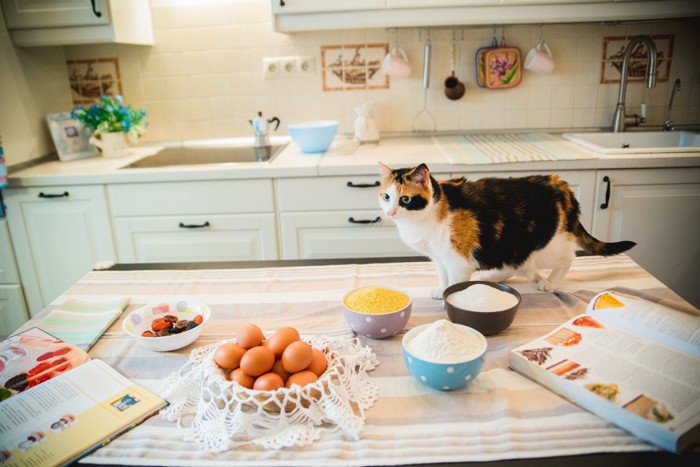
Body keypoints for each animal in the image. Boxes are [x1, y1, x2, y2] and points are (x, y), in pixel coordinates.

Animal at [380, 162, 636, 300]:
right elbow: (443, 276)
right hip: (510, 248)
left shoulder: (457, 260)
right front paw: (441, 289)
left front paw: (449, 296)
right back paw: (488, 277)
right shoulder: (439, 258)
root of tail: (558, 183)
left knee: (568, 257)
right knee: (513, 266)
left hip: (544, 245)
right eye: (386, 197)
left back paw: (550, 282)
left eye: (405, 199)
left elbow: (454, 281)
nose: (390, 212)